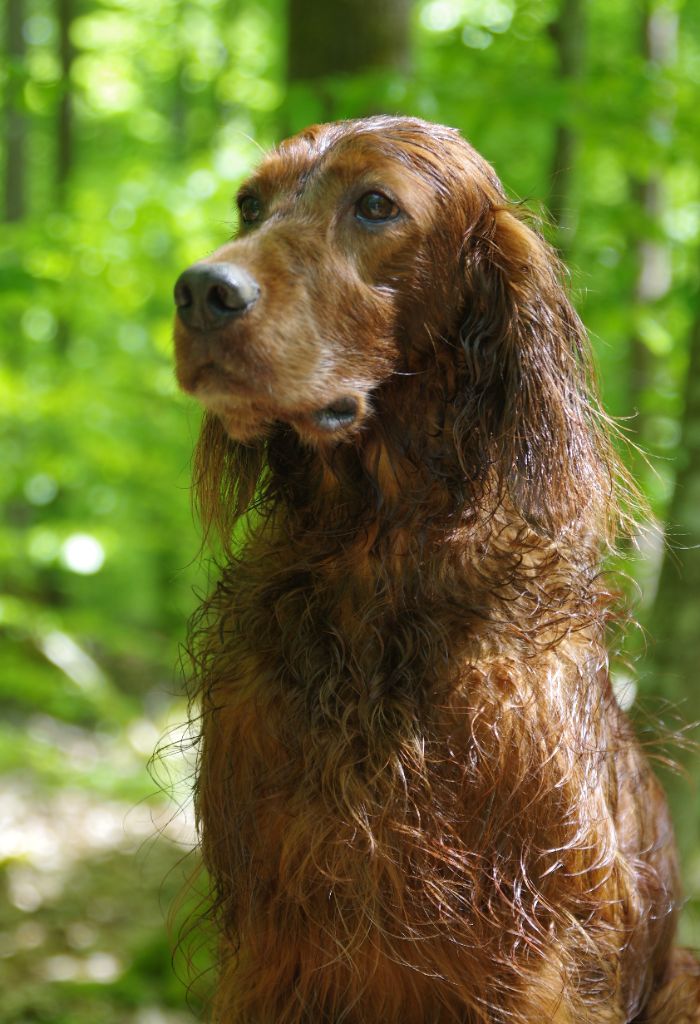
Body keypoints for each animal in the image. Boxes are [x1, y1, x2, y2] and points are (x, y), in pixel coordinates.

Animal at [170, 117, 700, 1024]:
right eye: (248, 204)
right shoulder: (275, 944)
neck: (375, 562)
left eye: (377, 205)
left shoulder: (531, 953)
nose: (203, 291)